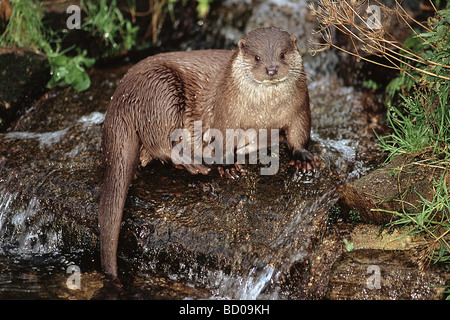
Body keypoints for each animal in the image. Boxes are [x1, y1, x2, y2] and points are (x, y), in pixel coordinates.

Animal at [100, 27, 322, 278]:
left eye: (282, 54)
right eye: (257, 57)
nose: (272, 68)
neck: (264, 114)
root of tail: (121, 98)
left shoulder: (300, 107)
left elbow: (299, 133)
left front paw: (303, 157)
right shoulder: (226, 112)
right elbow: (222, 138)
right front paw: (227, 164)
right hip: (161, 92)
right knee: (162, 142)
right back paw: (192, 163)